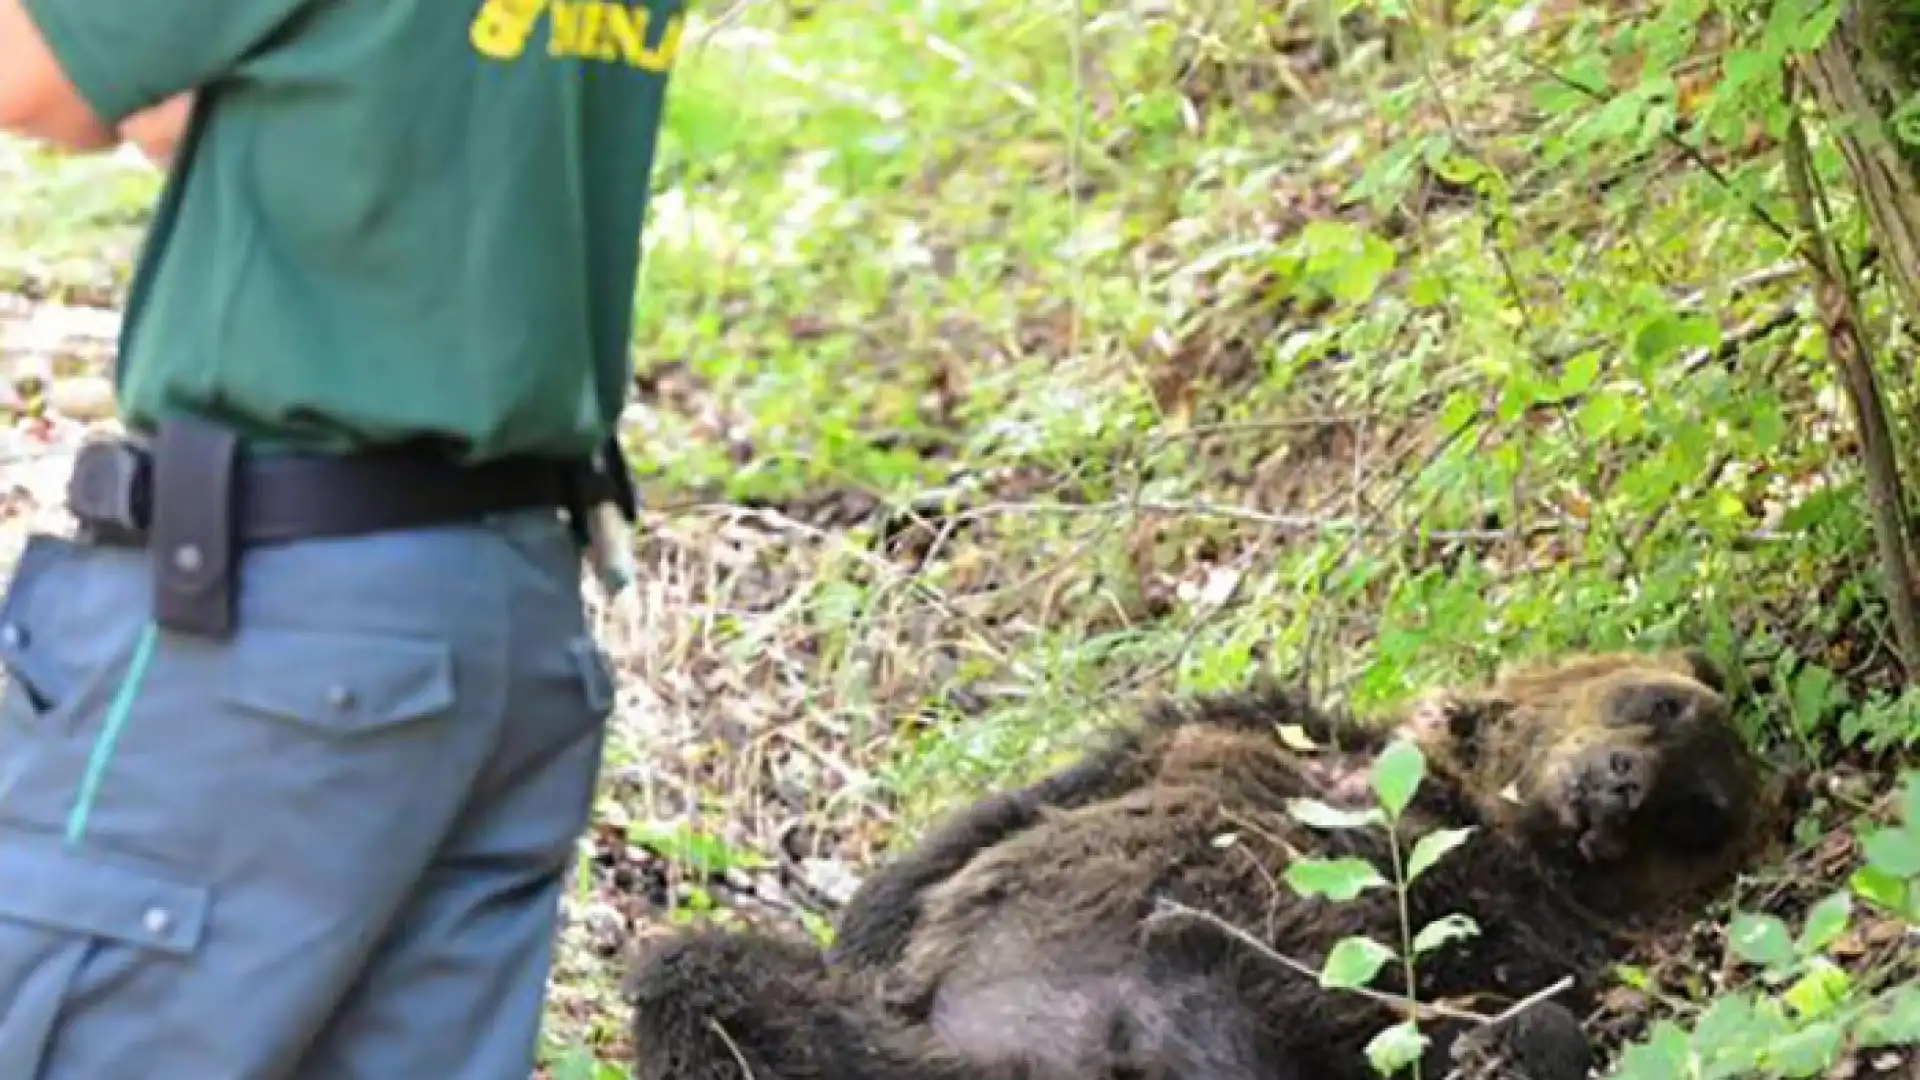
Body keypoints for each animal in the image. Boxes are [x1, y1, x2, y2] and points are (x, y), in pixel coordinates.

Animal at [625, 645, 1766, 1076]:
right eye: (1654, 705)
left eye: (1700, 815)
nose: (1621, 789)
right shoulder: (1213, 732)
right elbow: (953, 852)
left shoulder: (1506, 919)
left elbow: (1493, 994)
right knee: (708, 977)